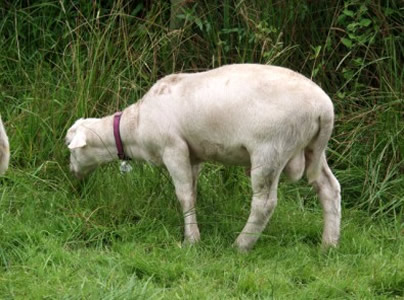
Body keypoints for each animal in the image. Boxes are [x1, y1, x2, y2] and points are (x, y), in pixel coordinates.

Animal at [65, 63, 340, 251]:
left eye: (69, 145)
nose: (72, 174)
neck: (134, 126)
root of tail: (324, 107)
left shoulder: (173, 148)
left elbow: (183, 194)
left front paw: (192, 240)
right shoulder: (192, 155)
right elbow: (193, 192)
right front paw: (193, 229)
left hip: (271, 149)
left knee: (264, 203)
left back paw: (241, 245)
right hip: (313, 149)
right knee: (329, 188)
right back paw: (329, 244)